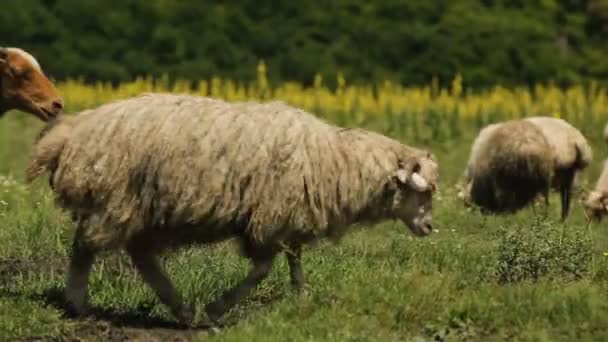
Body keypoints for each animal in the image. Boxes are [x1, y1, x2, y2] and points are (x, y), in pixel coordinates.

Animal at [26, 93, 440, 324]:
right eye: (424, 193)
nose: (430, 228)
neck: (338, 162)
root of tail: (73, 131)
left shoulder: (289, 219)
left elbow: (294, 262)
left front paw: (301, 297)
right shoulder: (269, 218)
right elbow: (261, 270)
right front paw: (218, 309)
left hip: (139, 211)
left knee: (139, 256)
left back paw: (180, 309)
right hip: (115, 199)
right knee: (85, 247)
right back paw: (79, 303)